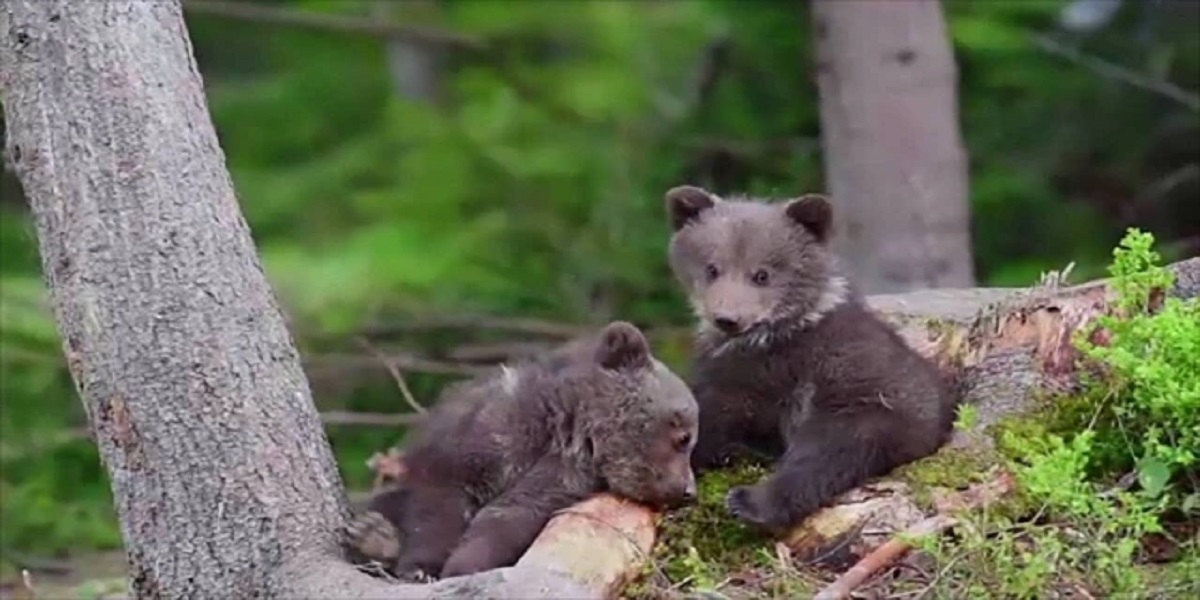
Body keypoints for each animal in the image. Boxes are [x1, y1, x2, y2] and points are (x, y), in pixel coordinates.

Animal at [346, 320, 700, 581]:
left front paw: (463, 565)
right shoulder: (473, 442)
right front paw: (420, 567)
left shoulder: (560, 478)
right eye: (683, 437)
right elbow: (437, 505)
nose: (688, 490)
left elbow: (508, 518)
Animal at [662, 184, 958, 536]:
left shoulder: (771, 371)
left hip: (863, 408)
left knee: (822, 457)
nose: (727, 319)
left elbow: (715, 412)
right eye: (712, 268)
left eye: (761, 274)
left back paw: (749, 502)